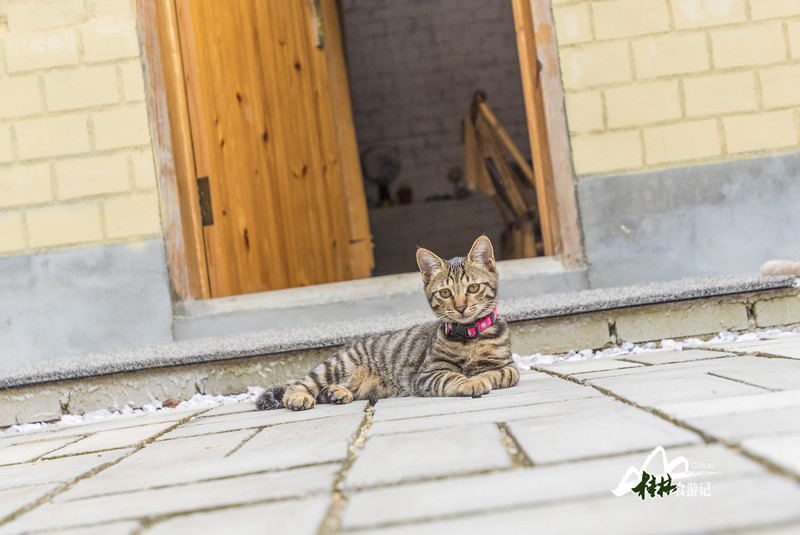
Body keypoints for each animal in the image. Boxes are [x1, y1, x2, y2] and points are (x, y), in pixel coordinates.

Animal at [256, 234, 520, 410]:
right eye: (445, 293)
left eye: (473, 288)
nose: (461, 307)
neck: (470, 335)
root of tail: (349, 346)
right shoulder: (428, 373)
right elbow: (452, 376)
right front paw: (470, 382)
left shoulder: (510, 367)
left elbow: (497, 374)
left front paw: (479, 378)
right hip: (336, 367)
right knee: (300, 383)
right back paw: (298, 397)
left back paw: (336, 393)